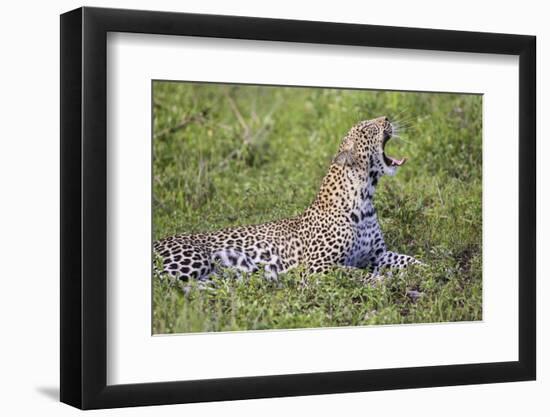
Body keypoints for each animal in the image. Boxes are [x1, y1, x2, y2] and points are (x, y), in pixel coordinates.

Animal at [153, 115, 424, 282]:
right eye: (368, 128)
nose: (386, 118)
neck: (365, 197)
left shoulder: (377, 255)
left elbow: (407, 259)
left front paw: (427, 270)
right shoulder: (317, 267)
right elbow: (353, 272)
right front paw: (381, 280)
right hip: (192, 260)